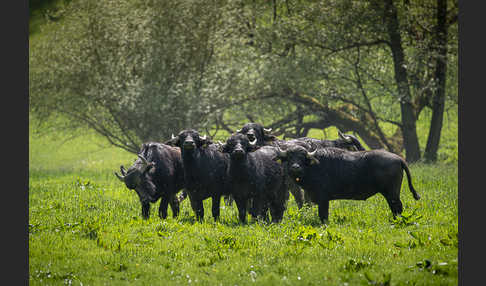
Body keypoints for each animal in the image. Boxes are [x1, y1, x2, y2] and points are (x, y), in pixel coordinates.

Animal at [276, 145, 420, 223]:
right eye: (290, 157)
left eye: (302, 157)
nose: (295, 167)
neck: (313, 167)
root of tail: (398, 158)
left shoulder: (323, 199)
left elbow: (323, 215)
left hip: (392, 193)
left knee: (398, 207)